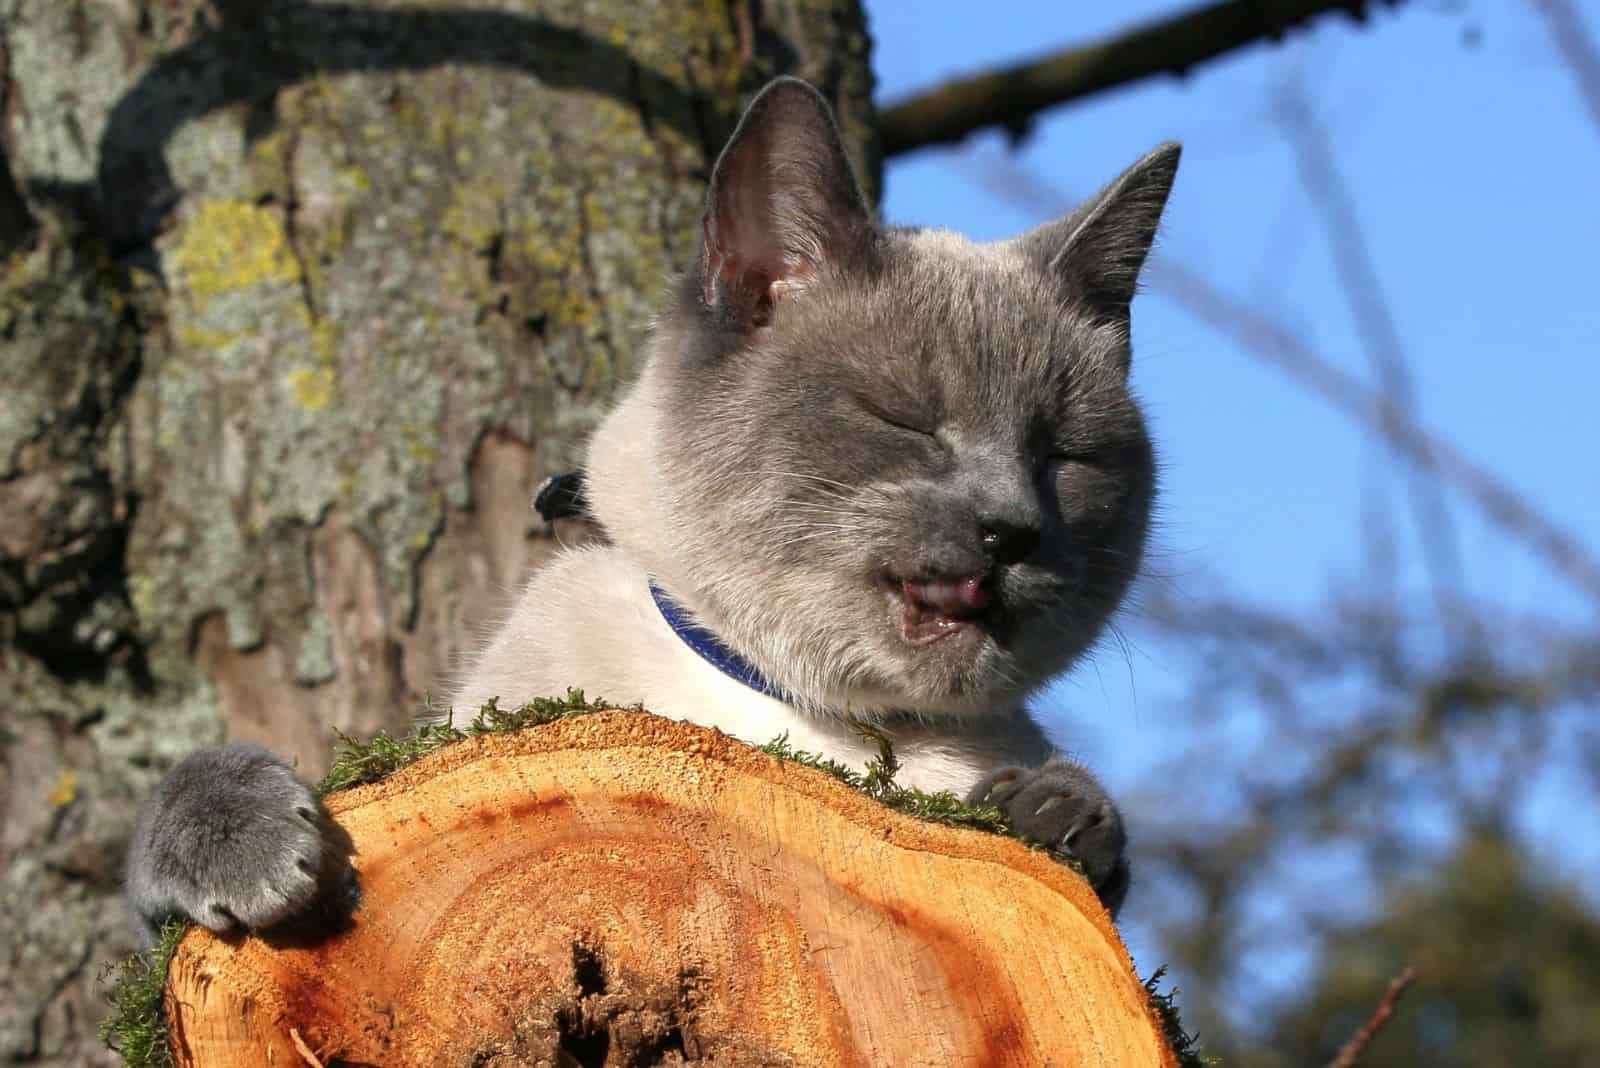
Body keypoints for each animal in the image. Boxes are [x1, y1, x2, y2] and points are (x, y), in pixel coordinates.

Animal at [124, 75, 1177, 946]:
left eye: (1063, 457)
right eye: (905, 421)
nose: (1011, 529)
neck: (801, 718)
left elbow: (1089, 820)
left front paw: (1057, 818)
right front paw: (257, 859)